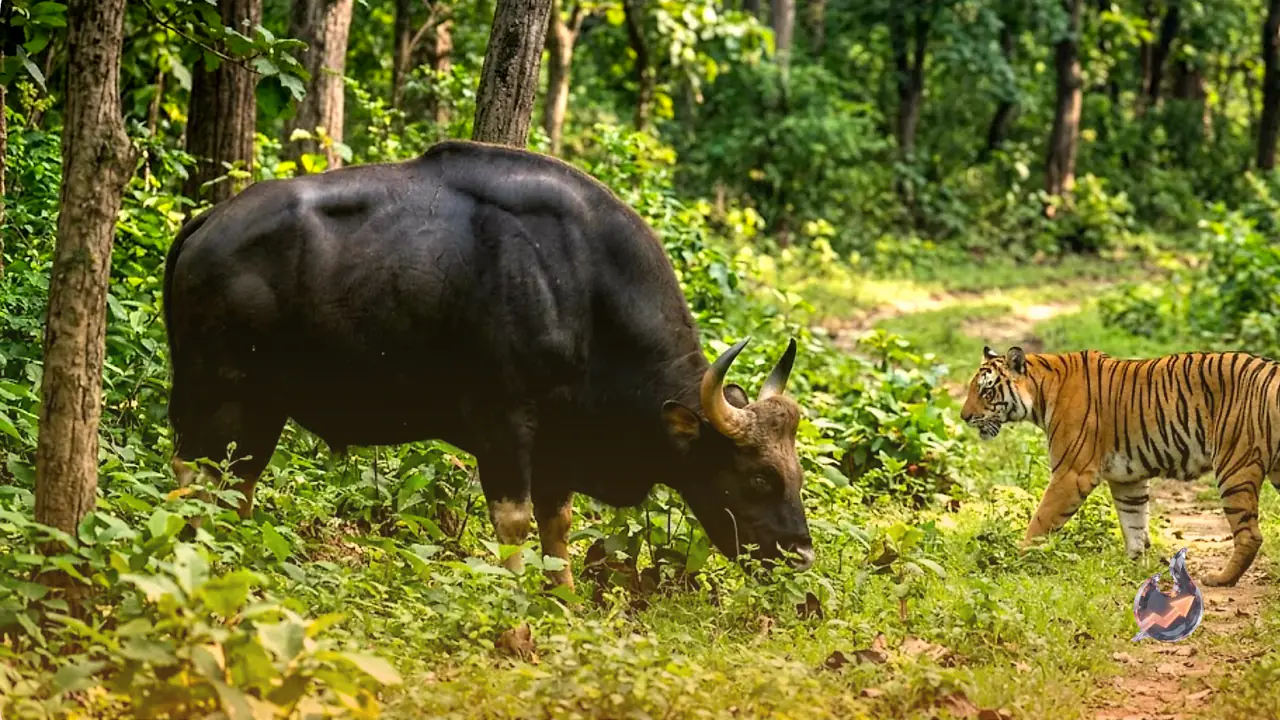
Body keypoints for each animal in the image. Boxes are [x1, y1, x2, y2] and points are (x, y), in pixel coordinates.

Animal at [960, 345, 1280, 587]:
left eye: (987, 392)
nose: (964, 417)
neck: (1041, 390)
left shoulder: (1071, 474)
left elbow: (1040, 521)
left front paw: (1016, 559)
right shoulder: (1128, 479)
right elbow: (1134, 525)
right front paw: (1134, 569)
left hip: (1234, 465)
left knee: (1250, 535)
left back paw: (1221, 579)